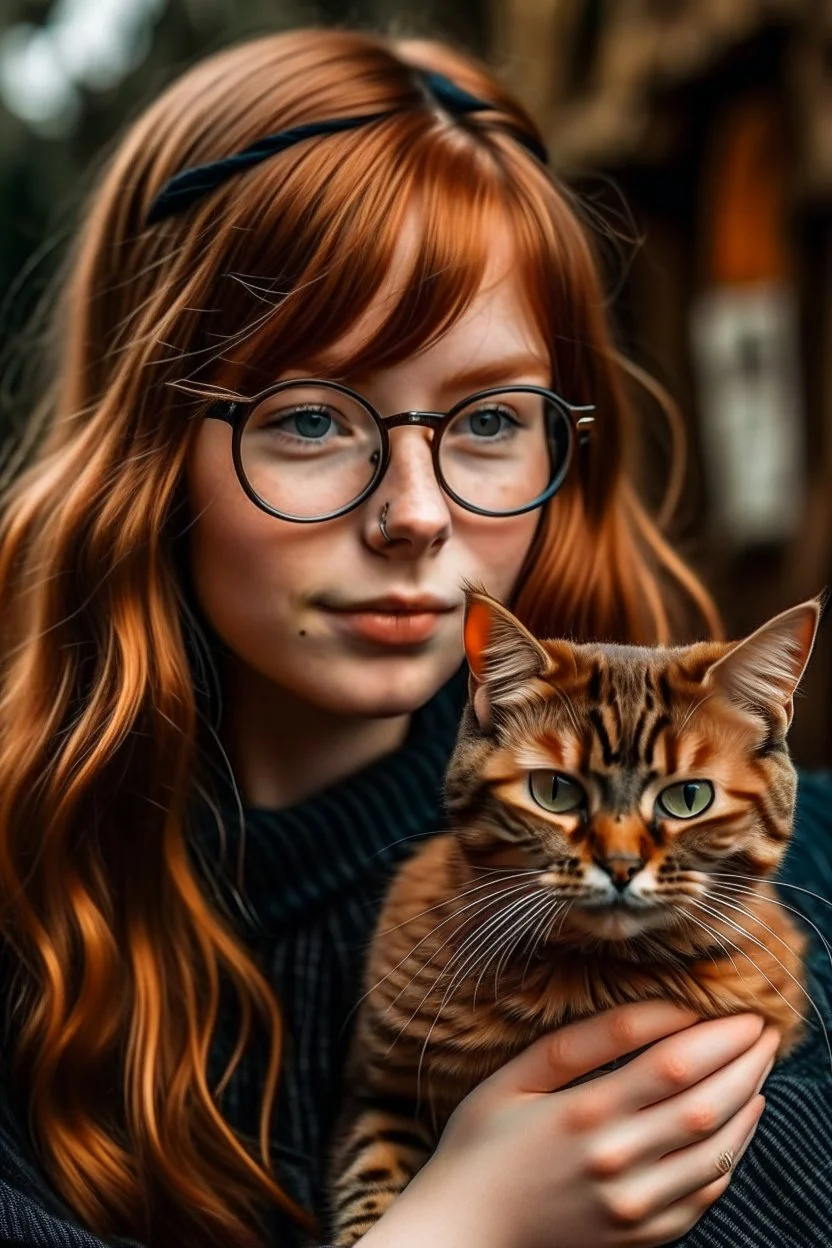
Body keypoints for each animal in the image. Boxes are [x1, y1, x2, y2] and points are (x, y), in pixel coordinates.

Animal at [324, 586, 818, 1248]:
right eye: (555, 791)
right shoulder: (379, 1090)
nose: (620, 864)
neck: (593, 975)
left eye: (689, 798)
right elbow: (371, 1186)